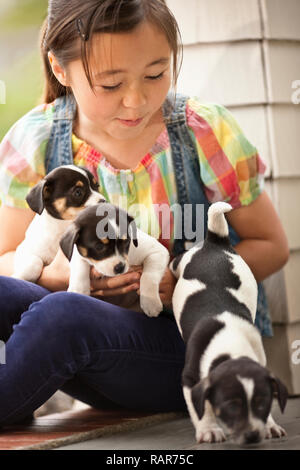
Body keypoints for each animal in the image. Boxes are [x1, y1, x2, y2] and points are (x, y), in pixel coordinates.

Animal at [170, 201, 288, 444]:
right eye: (231, 406)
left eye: (262, 403)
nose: (252, 436)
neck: (230, 337)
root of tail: (215, 242)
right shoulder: (189, 379)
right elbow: (200, 407)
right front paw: (209, 429)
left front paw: (270, 425)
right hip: (183, 259)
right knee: (175, 261)